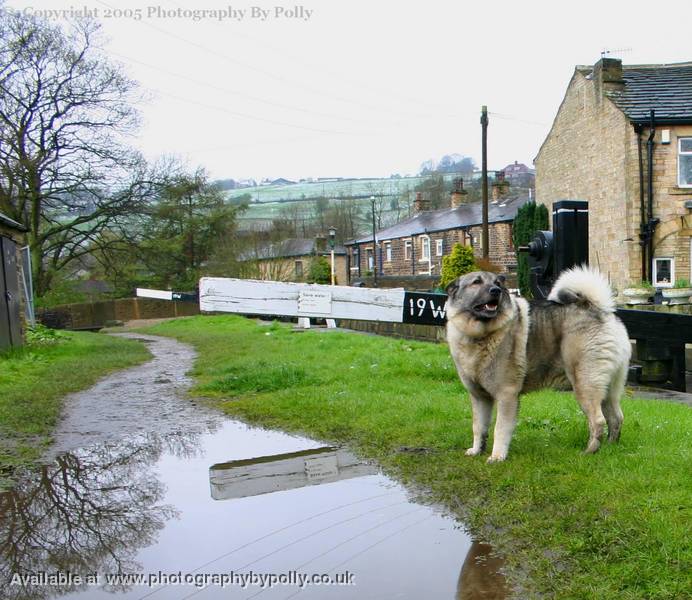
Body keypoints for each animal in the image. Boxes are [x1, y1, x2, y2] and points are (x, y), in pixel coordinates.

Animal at [446, 268, 628, 464]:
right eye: (476, 282)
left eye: (498, 283)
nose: (496, 290)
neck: (481, 335)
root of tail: (599, 309)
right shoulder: (480, 397)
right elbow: (479, 426)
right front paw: (477, 450)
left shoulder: (506, 395)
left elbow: (500, 428)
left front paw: (497, 456)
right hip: (608, 389)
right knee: (616, 417)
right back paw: (610, 447)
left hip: (585, 385)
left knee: (598, 420)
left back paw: (590, 451)